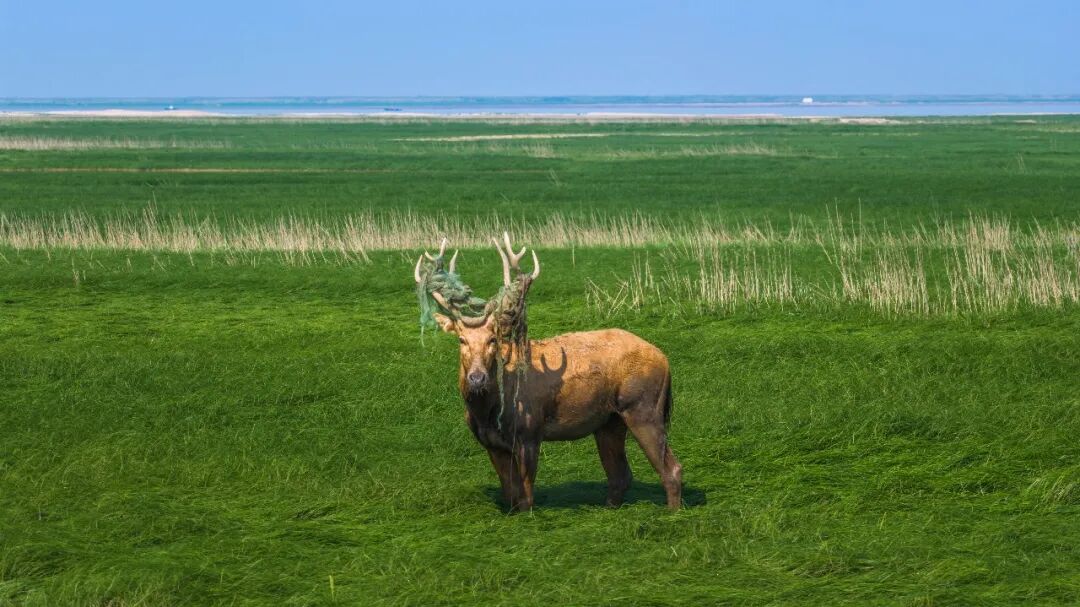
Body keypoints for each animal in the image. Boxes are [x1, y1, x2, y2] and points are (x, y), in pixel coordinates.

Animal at [414, 235, 682, 511]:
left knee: (671, 468)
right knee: (620, 473)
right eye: (461, 339)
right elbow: (510, 494)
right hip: (609, 421)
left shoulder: (530, 431)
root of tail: (665, 359)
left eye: (493, 339)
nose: (477, 378)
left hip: (643, 406)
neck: (489, 412)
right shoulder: (491, 443)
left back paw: (673, 513)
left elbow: (526, 497)